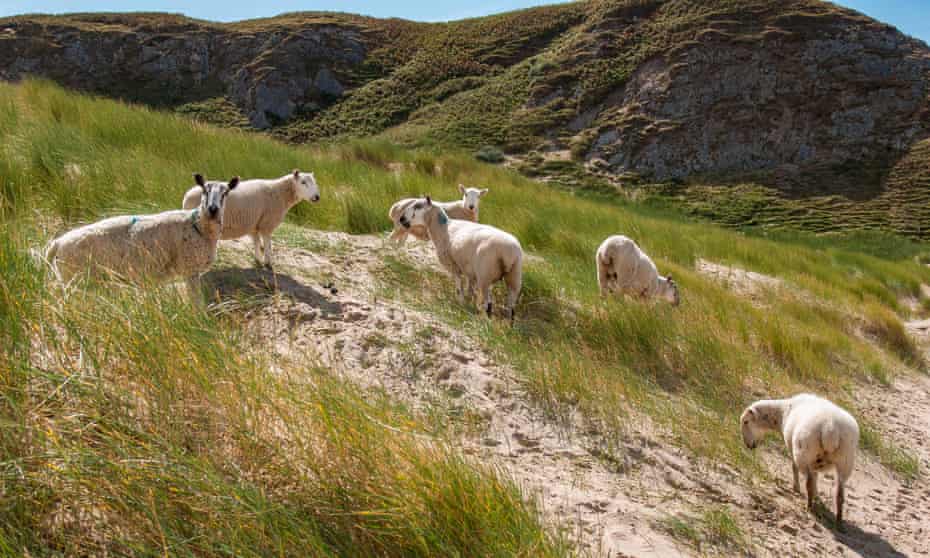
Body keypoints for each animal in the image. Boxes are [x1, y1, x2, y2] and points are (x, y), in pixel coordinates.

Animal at [46, 174, 239, 300]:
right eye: (204, 191)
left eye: (225, 193)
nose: (213, 209)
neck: (198, 225)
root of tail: (57, 243)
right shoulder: (190, 270)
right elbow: (195, 302)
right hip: (75, 276)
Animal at [182, 169, 320, 268]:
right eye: (303, 182)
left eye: (315, 182)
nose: (317, 197)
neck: (280, 193)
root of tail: (186, 196)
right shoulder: (267, 223)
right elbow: (267, 244)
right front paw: (269, 263)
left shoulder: (255, 223)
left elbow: (256, 242)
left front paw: (258, 260)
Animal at [741, 393, 859, 528]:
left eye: (746, 422)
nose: (748, 445)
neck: (782, 412)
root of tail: (830, 428)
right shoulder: (815, 462)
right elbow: (816, 478)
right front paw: (818, 497)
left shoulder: (793, 449)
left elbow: (794, 468)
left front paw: (796, 487)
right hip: (845, 461)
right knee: (839, 493)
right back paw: (839, 521)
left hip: (804, 453)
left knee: (808, 484)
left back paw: (809, 507)